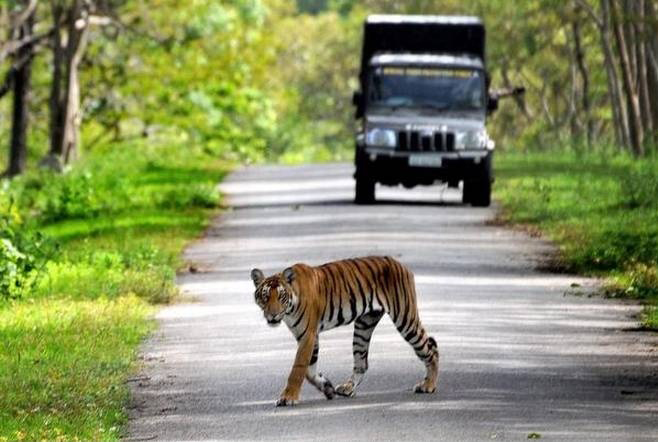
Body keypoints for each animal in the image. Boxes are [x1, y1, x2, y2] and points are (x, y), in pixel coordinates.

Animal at [250, 256, 439, 407]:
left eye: (281, 296)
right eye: (265, 296)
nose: (273, 315)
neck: (290, 308)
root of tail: (398, 263)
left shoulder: (307, 335)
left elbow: (298, 368)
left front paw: (288, 397)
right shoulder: (310, 337)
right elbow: (310, 371)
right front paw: (327, 388)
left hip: (405, 318)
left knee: (430, 349)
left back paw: (428, 386)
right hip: (364, 326)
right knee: (362, 363)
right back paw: (347, 388)